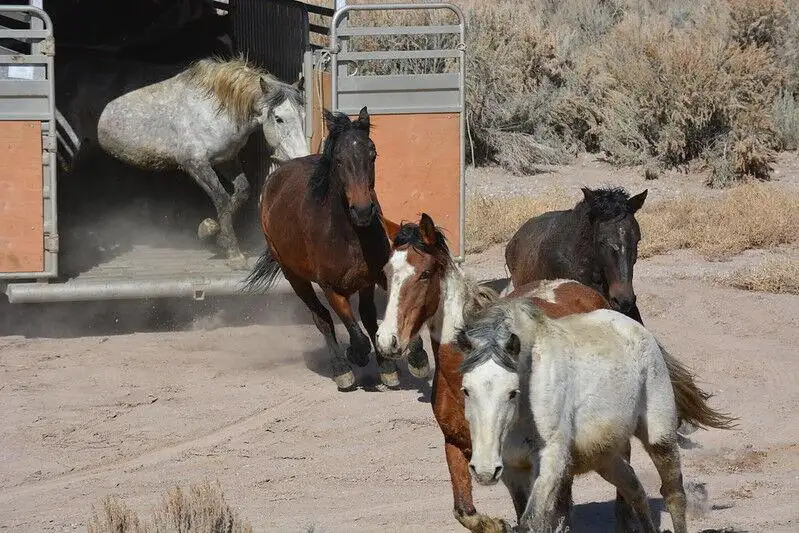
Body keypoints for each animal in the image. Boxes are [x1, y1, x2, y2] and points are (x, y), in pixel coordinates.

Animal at [95, 56, 309, 269]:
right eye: (279, 118)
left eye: (303, 116)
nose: (301, 157)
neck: (213, 111)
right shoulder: (195, 164)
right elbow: (222, 199)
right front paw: (232, 253)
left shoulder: (226, 159)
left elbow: (242, 192)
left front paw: (214, 234)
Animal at [243, 107, 429, 391]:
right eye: (339, 160)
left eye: (372, 154)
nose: (362, 211)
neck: (349, 236)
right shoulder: (331, 287)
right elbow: (353, 330)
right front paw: (357, 354)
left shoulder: (379, 274)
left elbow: (389, 311)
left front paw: (413, 360)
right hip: (294, 276)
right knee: (321, 317)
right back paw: (342, 368)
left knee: (365, 315)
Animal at [375, 213, 614, 533]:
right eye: (387, 273)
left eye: (424, 274)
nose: (387, 341)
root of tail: (577, 287)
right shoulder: (455, 445)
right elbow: (464, 511)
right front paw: (496, 524)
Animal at [456, 299, 737, 533]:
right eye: (466, 390)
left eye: (512, 392)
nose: (484, 470)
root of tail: (640, 330)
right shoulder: (512, 470)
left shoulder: (551, 461)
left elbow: (532, 522)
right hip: (606, 458)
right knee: (635, 490)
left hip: (660, 438)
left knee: (673, 494)